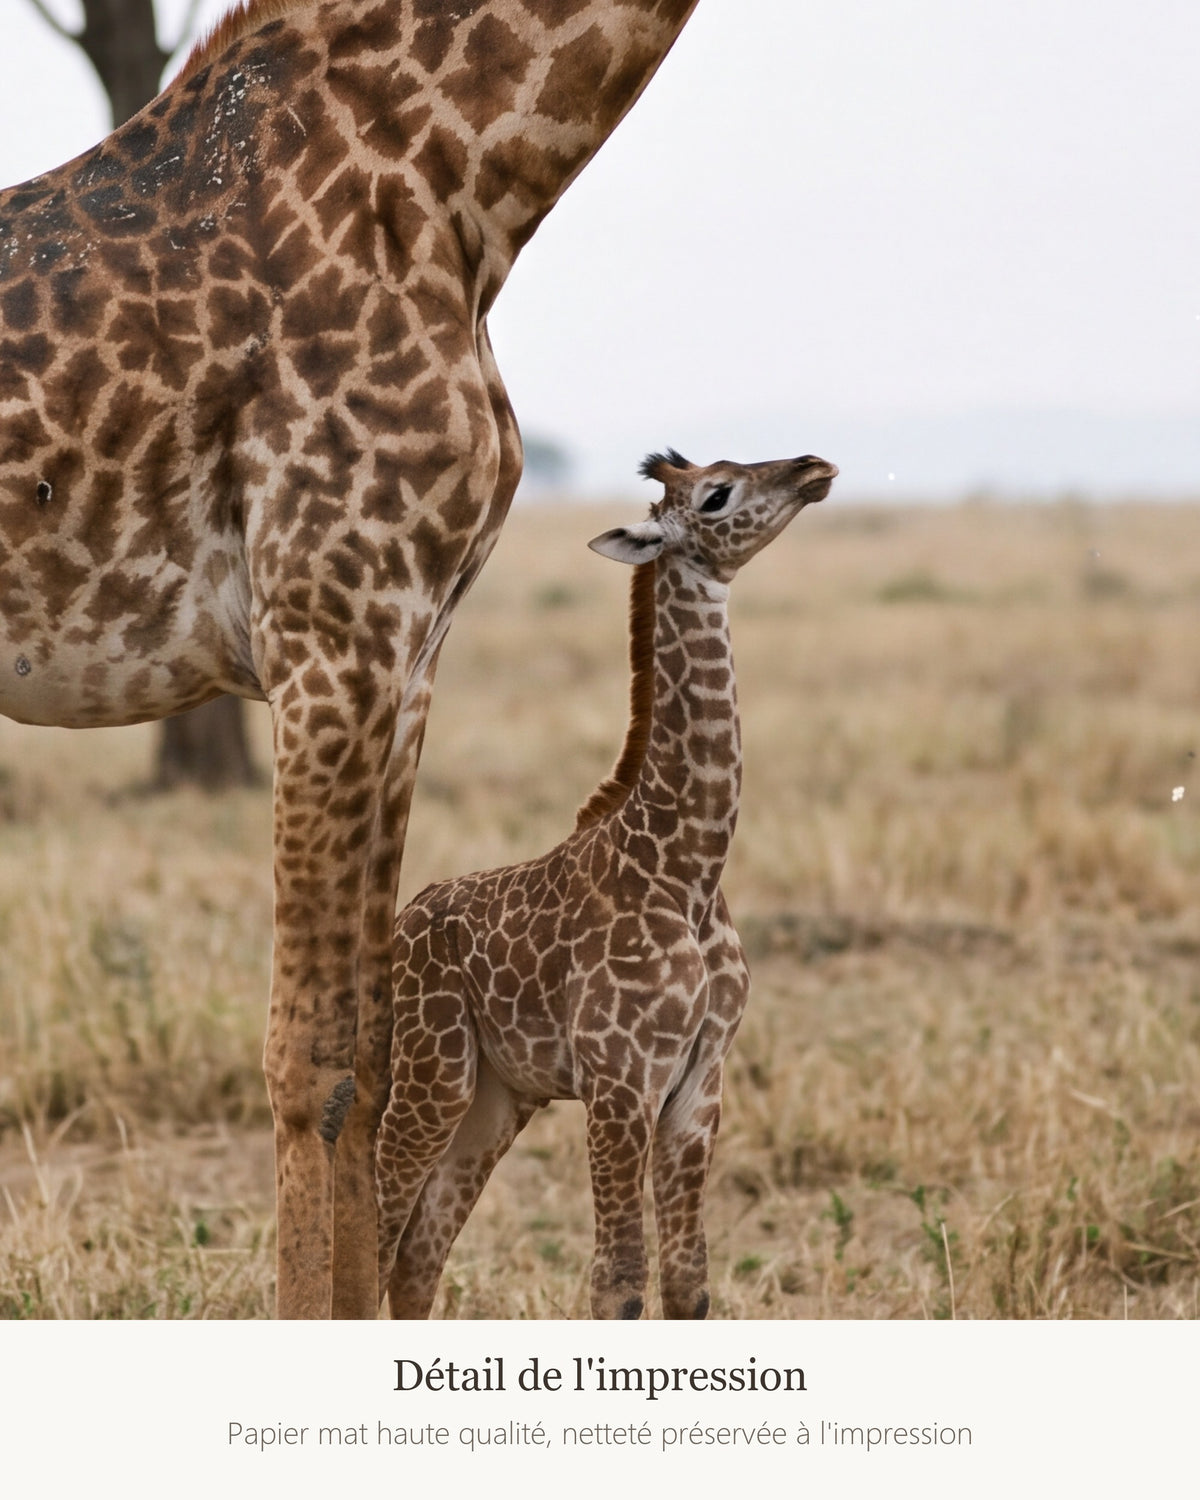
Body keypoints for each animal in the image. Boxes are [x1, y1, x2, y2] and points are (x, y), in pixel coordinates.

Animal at [376, 448, 838, 1318]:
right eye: (716, 494)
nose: (812, 467)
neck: (688, 871)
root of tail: (396, 927)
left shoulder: (699, 1085)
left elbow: (689, 1283)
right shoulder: (620, 1082)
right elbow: (618, 1283)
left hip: (495, 1098)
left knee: (417, 1254)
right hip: (432, 1071)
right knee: (375, 1225)